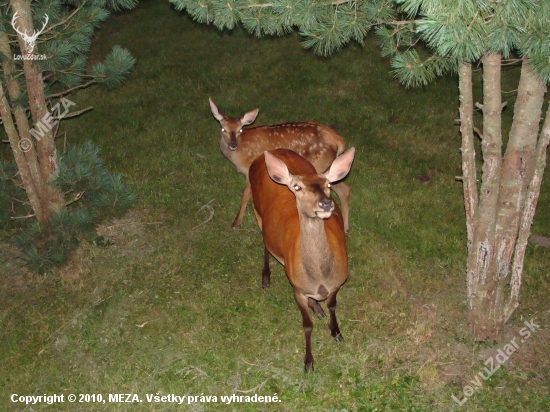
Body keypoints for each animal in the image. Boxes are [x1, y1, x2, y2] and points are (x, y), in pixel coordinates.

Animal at [209, 97, 352, 232]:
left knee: (343, 189)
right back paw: (345, 228)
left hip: (320, 164)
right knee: (344, 189)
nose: (233, 144)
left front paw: (236, 222)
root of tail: (338, 140)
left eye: (240, 130)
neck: (239, 154)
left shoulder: (249, 167)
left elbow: (245, 194)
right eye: (223, 128)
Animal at [249, 147, 356, 370]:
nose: (326, 203)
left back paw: (317, 307)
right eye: (296, 187)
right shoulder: (296, 289)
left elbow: (333, 306)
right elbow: (307, 325)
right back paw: (266, 278)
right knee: (265, 243)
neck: (319, 277)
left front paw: (336, 332)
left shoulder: (338, 282)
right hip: (257, 210)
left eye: (329, 184)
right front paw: (308, 362)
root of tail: (272, 151)